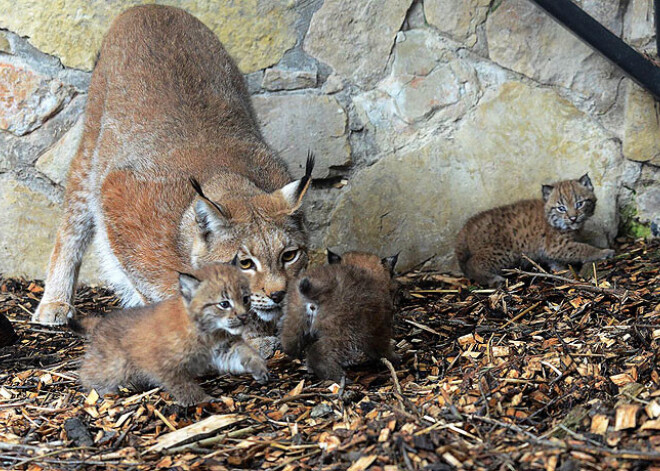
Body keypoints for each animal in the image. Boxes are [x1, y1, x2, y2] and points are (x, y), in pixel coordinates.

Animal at [71, 264, 266, 408]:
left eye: (246, 299)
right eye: (224, 304)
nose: (244, 316)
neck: (208, 332)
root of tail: (102, 321)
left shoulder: (222, 348)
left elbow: (243, 353)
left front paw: (258, 367)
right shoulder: (165, 365)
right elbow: (184, 386)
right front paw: (204, 400)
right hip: (116, 364)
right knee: (87, 372)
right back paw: (101, 393)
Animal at [278, 251, 398, 384]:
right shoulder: (380, 327)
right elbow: (382, 346)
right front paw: (393, 357)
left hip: (293, 317)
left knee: (289, 342)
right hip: (345, 333)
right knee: (319, 352)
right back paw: (339, 377)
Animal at [454, 174, 612, 288]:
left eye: (580, 204)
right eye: (561, 208)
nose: (573, 218)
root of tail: (465, 228)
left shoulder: (549, 251)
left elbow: (556, 262)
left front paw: (563, 271)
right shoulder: (557, 245)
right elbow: (583, 248)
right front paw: (602, 252)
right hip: (505, 251)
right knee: (472, 264)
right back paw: (494, 279)